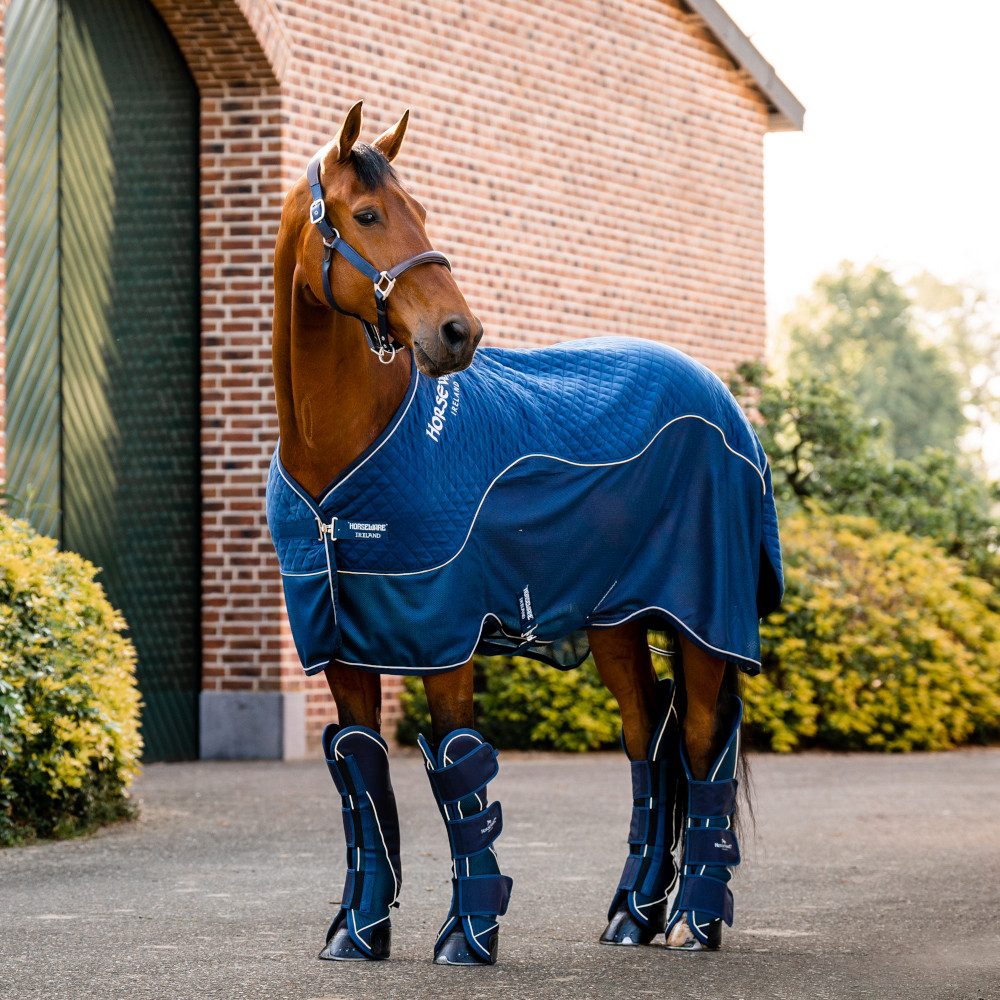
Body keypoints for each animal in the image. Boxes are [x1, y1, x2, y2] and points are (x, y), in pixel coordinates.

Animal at [267, 101, 783, 965]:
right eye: (366, 215)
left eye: (422, 210)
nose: (457, 333)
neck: (341, 458)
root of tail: (718, 398)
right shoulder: (340, 647)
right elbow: (361, 773)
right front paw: (357, 933)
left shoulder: (444, 640)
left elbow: (458, 773)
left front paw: (467, 938)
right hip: (617, 622)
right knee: (651, 743)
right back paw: (631, 917)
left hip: (703, 618)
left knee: (703, 743)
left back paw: (692, 922)